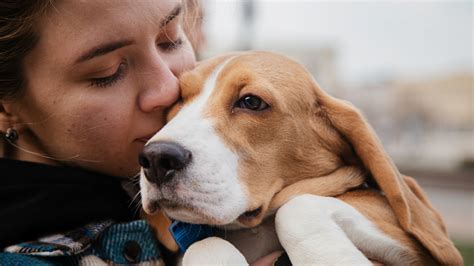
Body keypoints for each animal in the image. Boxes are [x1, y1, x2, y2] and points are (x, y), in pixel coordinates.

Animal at [138, 51, 462, 264]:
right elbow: (205, 244)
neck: (253, 231)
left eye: (251, 102)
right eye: (179, 100)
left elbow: (296, 207)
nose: (156, 158)